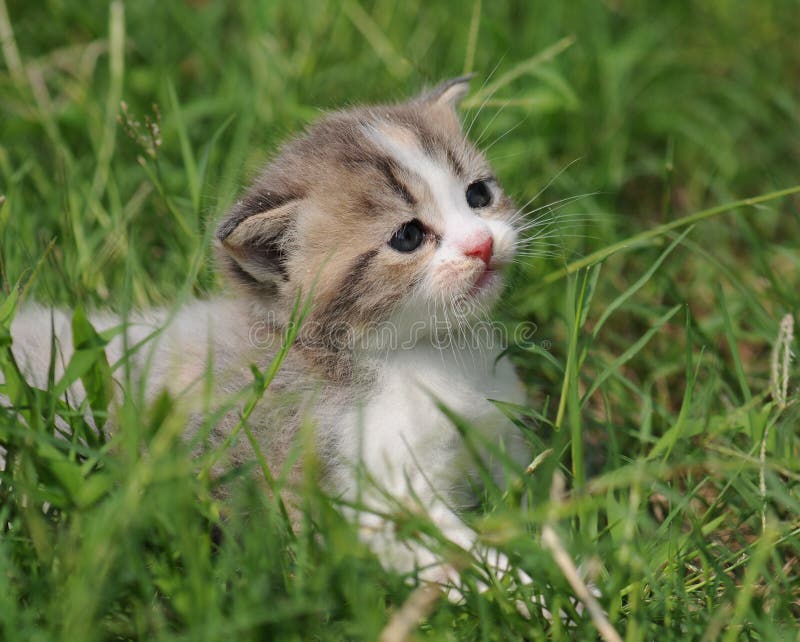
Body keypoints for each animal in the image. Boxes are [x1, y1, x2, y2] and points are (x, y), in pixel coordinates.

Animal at [7, 79, 532, 600]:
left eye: (478, 194)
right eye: (407, 236)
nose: (482, 245)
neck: (433, 351)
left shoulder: (503, 440)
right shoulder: (375, 494)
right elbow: (461, 556)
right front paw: (534, 596)